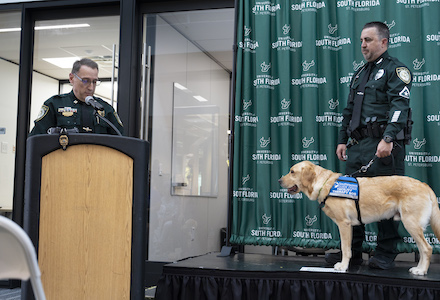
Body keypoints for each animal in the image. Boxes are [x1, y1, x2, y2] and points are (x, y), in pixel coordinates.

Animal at [278, 161, 440, 276]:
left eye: (292, 171)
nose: (279, 180)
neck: (325, 184)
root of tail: (424, 184)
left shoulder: (344, 223)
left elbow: (345, 248)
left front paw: (343, 266)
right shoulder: (350, 225)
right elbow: (349, 248)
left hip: (411, 223)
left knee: (427, 248)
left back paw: (421, 271)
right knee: (423, 249)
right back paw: (418, 268)